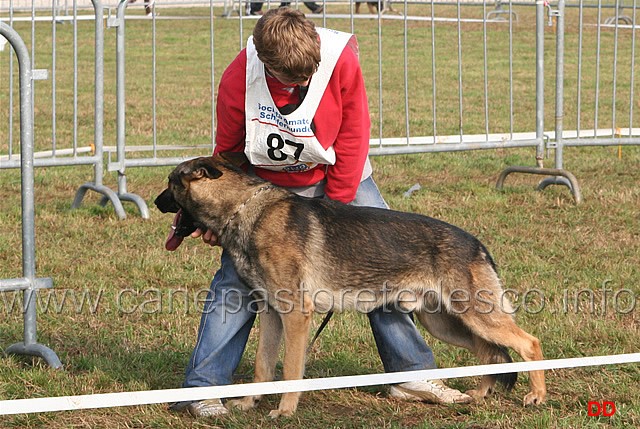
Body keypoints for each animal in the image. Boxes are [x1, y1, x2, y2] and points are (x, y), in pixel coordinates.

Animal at [154, 155, 544, 418]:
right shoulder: (271, 315)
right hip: (446, 323)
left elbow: (290, 368)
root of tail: (477, 244)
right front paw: (249, 403)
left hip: (474, 316)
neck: (246, 208)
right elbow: (263, 367)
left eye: (171, 183)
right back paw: (478, 394)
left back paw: (536, 396)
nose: (157, 202)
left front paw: (285, 410)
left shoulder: (296, 316)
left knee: (528, 343)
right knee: (488, 352)